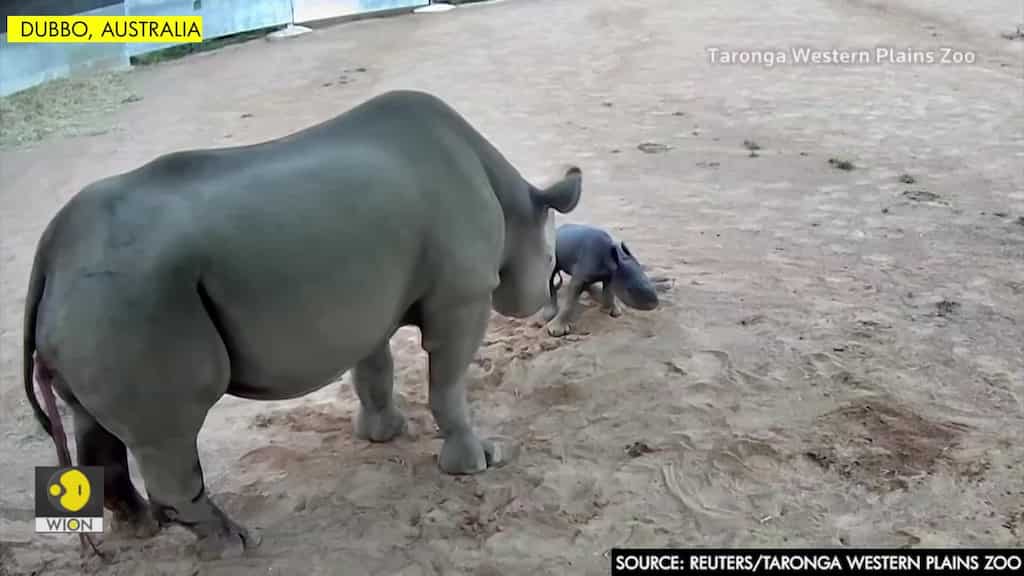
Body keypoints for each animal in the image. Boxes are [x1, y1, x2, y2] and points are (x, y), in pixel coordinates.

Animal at [22, 90, 583, 559]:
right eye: (550, 257)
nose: (538, 299)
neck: (510, 196)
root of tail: (52, 254)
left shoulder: (366, 302)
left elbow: (374, 370)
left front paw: (383, 435)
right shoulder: (461, 296)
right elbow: (447, 383)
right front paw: (478, 461)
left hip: (101, 302)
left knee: (92, 420)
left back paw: (142, 529)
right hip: (135, 300)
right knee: (171, 432)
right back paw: (234, 545)